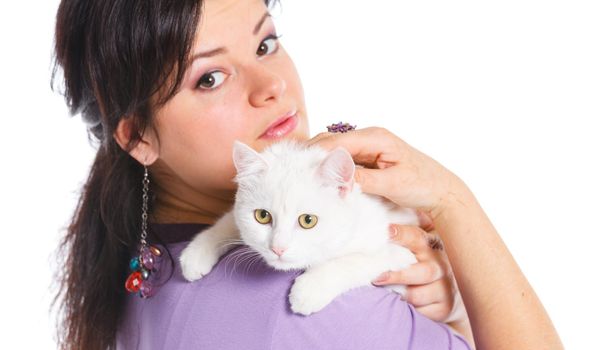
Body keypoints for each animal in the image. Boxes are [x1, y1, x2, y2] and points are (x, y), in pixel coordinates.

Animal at [180, 140, 420, 318]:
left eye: (308, 220)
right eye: (262, 216)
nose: (278, 248)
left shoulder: (400, 250)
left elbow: (354, 261)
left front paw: (310, 289)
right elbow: (228, 221)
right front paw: (198, 252)